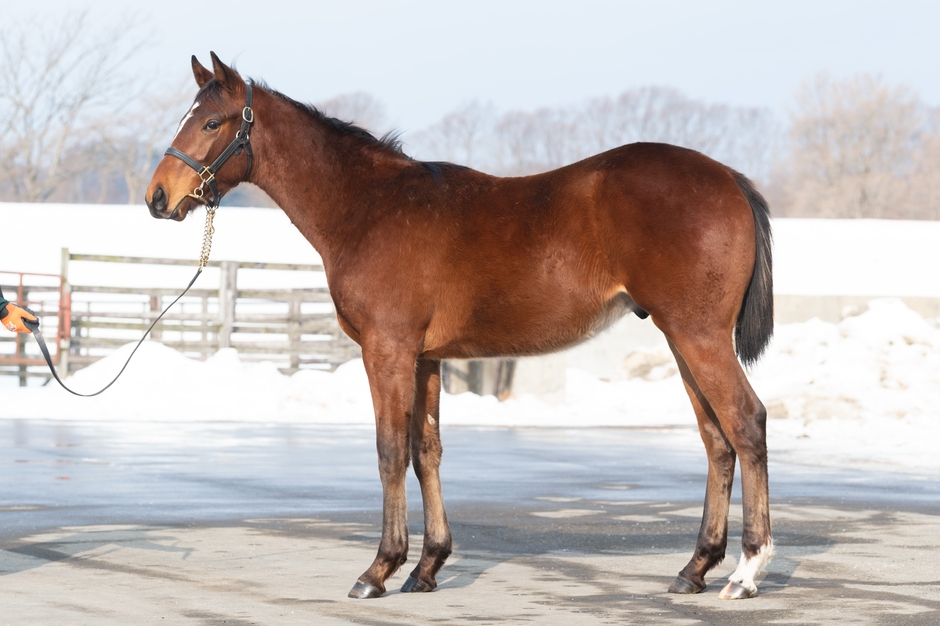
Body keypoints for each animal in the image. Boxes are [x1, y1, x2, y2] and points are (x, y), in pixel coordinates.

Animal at [146, 53, 775, 601]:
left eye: (211, 121)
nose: (158, 198)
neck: (368, 208)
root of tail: (728, 177)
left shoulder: (388, 349)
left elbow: (389, 449)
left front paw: (378, 570)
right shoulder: (426, 357)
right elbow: (426, 450)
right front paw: (426, 567)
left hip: (698, 336)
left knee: (746, 423)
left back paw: (747, 572)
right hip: (681, 340)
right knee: (716, 439)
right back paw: (694, 569)